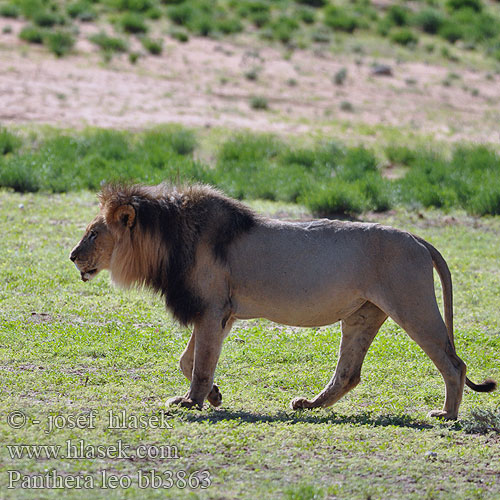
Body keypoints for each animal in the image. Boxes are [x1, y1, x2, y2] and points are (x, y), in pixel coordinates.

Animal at [70, 183, 496, 418]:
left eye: (93, 233)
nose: (72, 256)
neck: (167, 241)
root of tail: (419, 239)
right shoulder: (223, 314)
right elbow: (188, 359)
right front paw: (214, 395)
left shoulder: (211, 309)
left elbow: (200, 362)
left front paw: (191, 401)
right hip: (363, 314)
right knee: (348, 373)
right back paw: (309, 405)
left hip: (412, 305)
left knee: (454, 363)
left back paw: (447, 414)